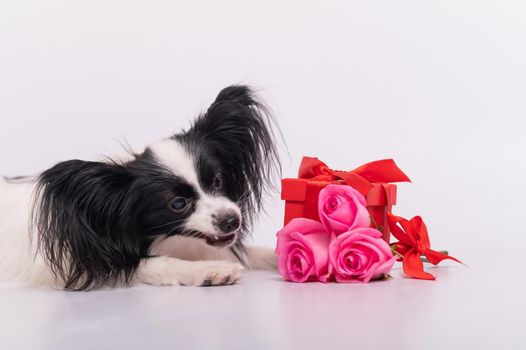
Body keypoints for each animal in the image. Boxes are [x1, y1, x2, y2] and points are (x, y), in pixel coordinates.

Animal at [0, 84, 280, 290]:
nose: (232, 220)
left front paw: (278, 255)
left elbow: (254, 251)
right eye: (177, 204)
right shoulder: (90, 264)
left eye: (217, 181)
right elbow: (156, 263)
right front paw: (208, 269)